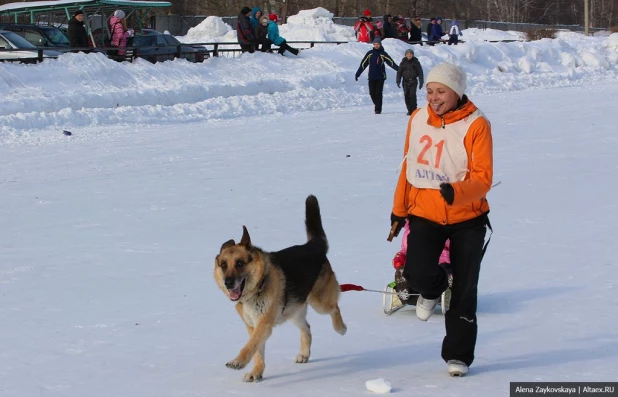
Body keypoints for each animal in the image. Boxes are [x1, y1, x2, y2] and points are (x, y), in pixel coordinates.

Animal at [213, 195, 346, 380]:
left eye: (240, 263)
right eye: (223, 265)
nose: (228, 282)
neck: (257, 288)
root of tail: (313, 246)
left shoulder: (264, 324)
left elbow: (250, 345)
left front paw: (238, 361)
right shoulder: (253, 326)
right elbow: (257, 351)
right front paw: (256, 372)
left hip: (320, 303)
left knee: (334, 308)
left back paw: (340, 328)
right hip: (294, 311)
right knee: (307, 328)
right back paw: (304, 353)